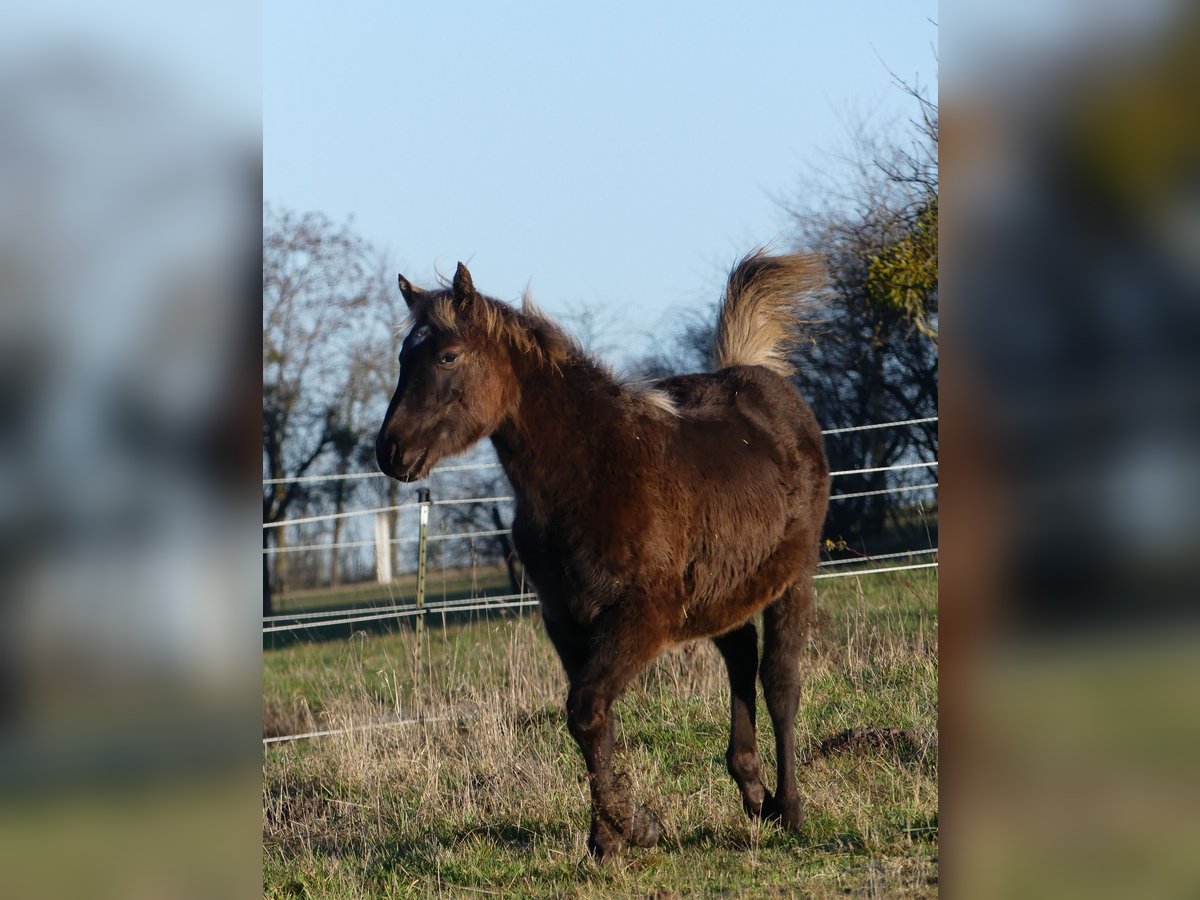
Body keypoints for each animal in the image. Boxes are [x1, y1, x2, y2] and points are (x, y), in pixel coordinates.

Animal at [379, 252, 830, 859]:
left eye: (448, 355)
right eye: (405, 356)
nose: (390, 451)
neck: (593, 473)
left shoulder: (643, 616)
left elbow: (587, 710)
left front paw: (623, 826)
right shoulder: (566, 620)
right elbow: (593, 719)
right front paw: (617, 832)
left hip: (793, 578)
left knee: (780, 682)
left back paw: (791, 809)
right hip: (722, 589)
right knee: (740, 658)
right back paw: (753, 792)